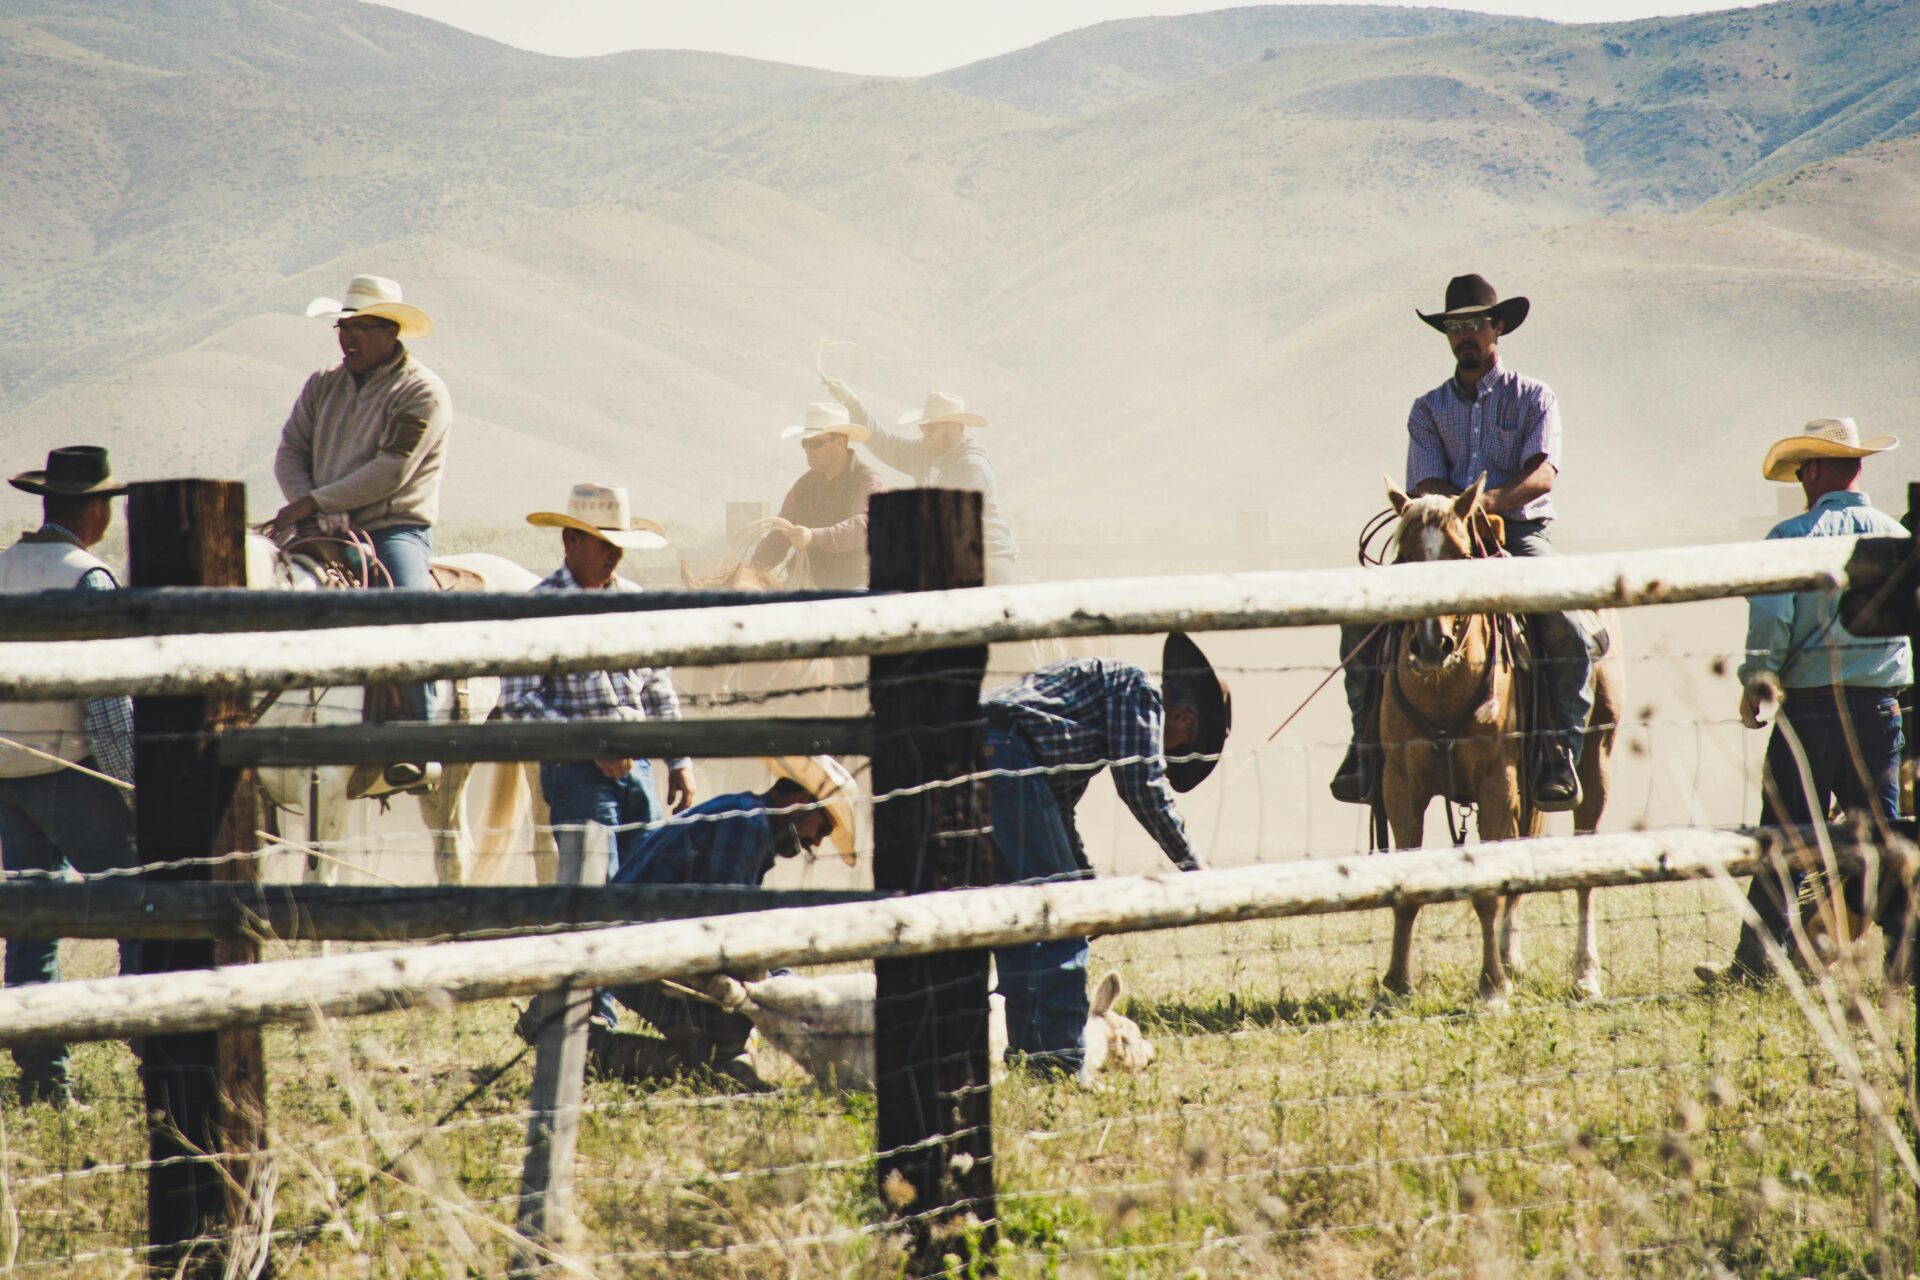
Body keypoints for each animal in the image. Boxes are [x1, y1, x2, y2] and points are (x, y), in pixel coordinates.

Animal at [1382, 477, 1620, 997]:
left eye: (1460, 554)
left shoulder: (1497, 782)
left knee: (1585, 872)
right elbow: (1407, 887)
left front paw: (1491, 987)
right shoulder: (1401, 786)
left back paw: (1584, 974)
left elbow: (1488, 890)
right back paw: (1512, 959)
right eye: (1404, 555)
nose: (1430, 645)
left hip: (1595, 763)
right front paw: (1394, 986)